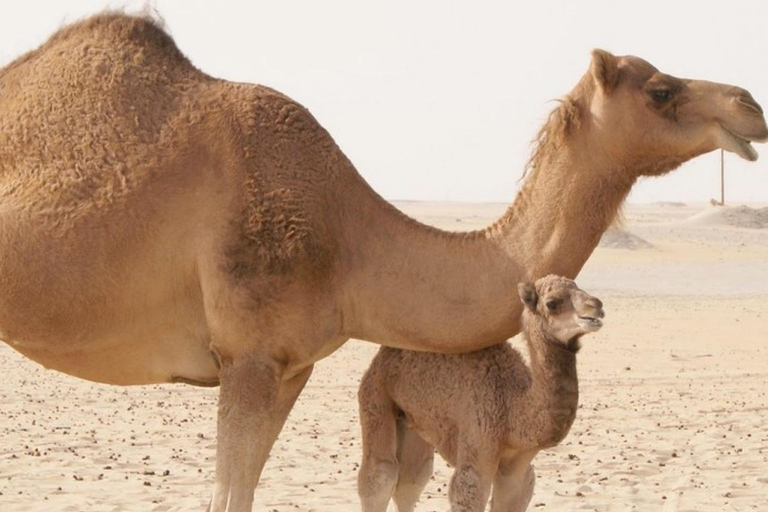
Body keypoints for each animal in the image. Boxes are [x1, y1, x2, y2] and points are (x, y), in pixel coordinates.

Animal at [357, 275, 604, 512]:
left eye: (578, 288)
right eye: (552, 303)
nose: (597, 306)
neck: (512, 407)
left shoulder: (518, 468)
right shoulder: (478, 442)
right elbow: (466, 491)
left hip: (413, 420)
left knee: (413, 477)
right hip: (375, 395)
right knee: (380, 475)